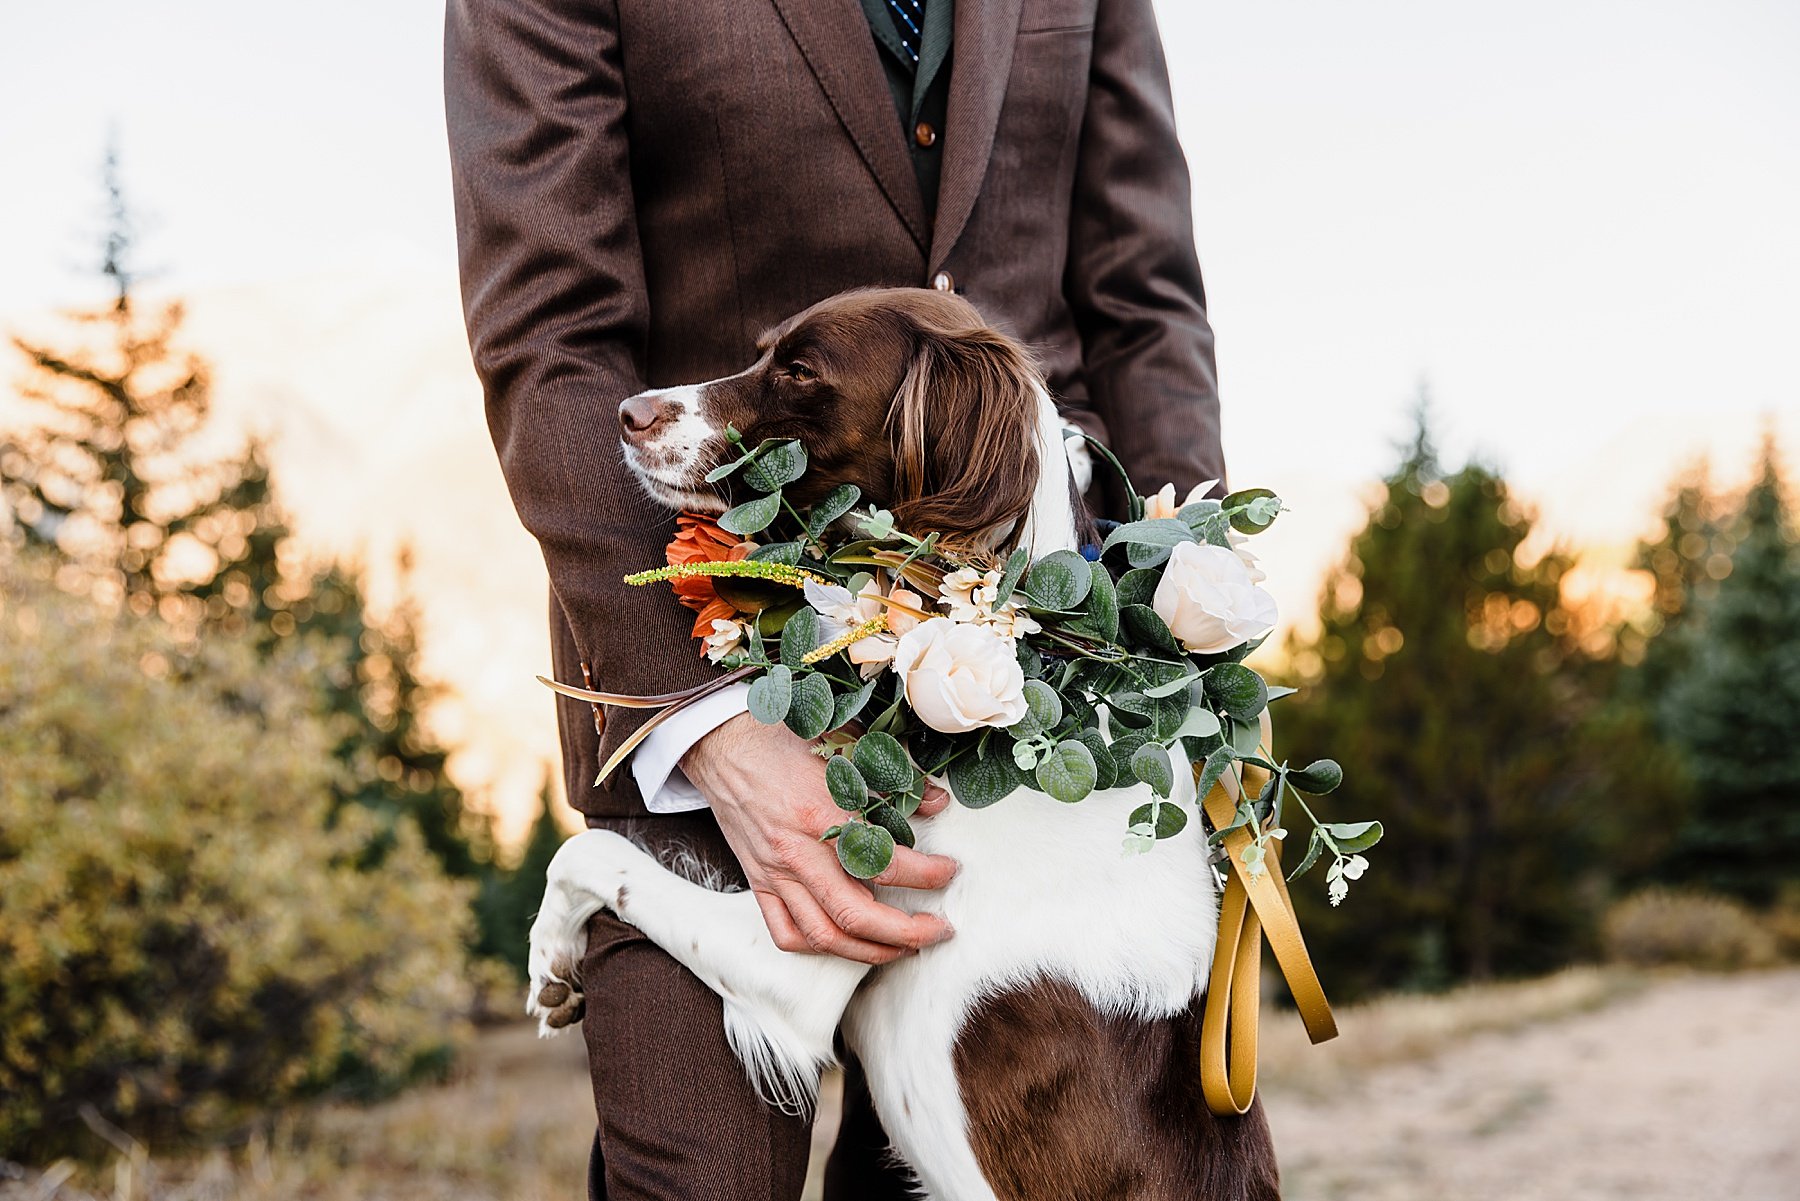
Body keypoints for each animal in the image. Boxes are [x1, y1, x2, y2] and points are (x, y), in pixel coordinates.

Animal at [525, 286, 1274, 1195]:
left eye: (801, 371)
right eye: (763, 350)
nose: (627, 412)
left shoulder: (801, 958)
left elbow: (596, 853)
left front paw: (550, 953)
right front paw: (554, 964)